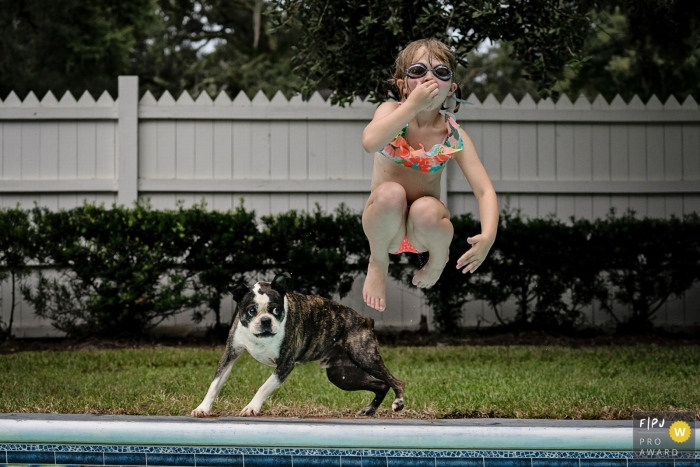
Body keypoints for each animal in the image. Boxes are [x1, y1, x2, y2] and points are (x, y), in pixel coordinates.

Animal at [191, 272, 404, 418]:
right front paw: (202, 408)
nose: (266, 320)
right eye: (251, 311)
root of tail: (366, 320)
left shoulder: (285, 364)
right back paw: (369, 410)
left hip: (364, 357)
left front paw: (252, 407)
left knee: (395, 381)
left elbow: (264, 387)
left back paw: (398, 402)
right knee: (380, 384)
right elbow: (215, 384)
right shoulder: (230, 355)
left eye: (276, 310)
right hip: (342, 375)